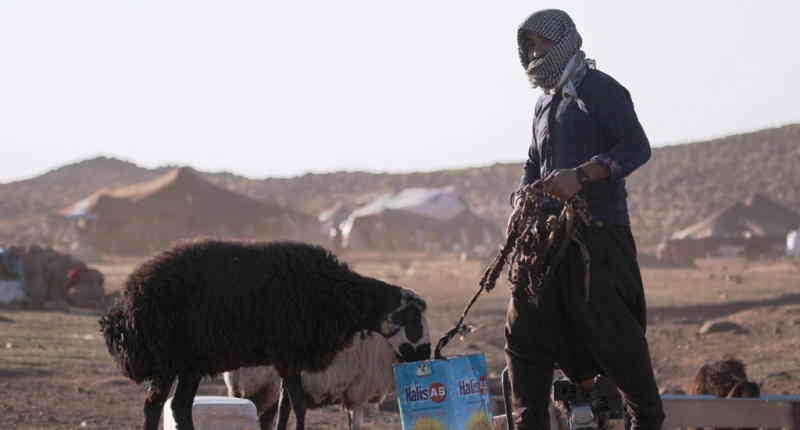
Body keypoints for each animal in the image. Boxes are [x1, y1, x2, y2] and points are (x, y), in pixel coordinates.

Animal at [100, 240, 432, 428]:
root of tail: (122, 312)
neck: (339, 295)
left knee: (175, 407)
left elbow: (286, 406)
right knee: (156, 405)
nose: (426, 354)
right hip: (170, 360)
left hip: (188, 364)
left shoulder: (288, 361)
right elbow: (296, 405)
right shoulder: (289, 355)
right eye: (414, 318)